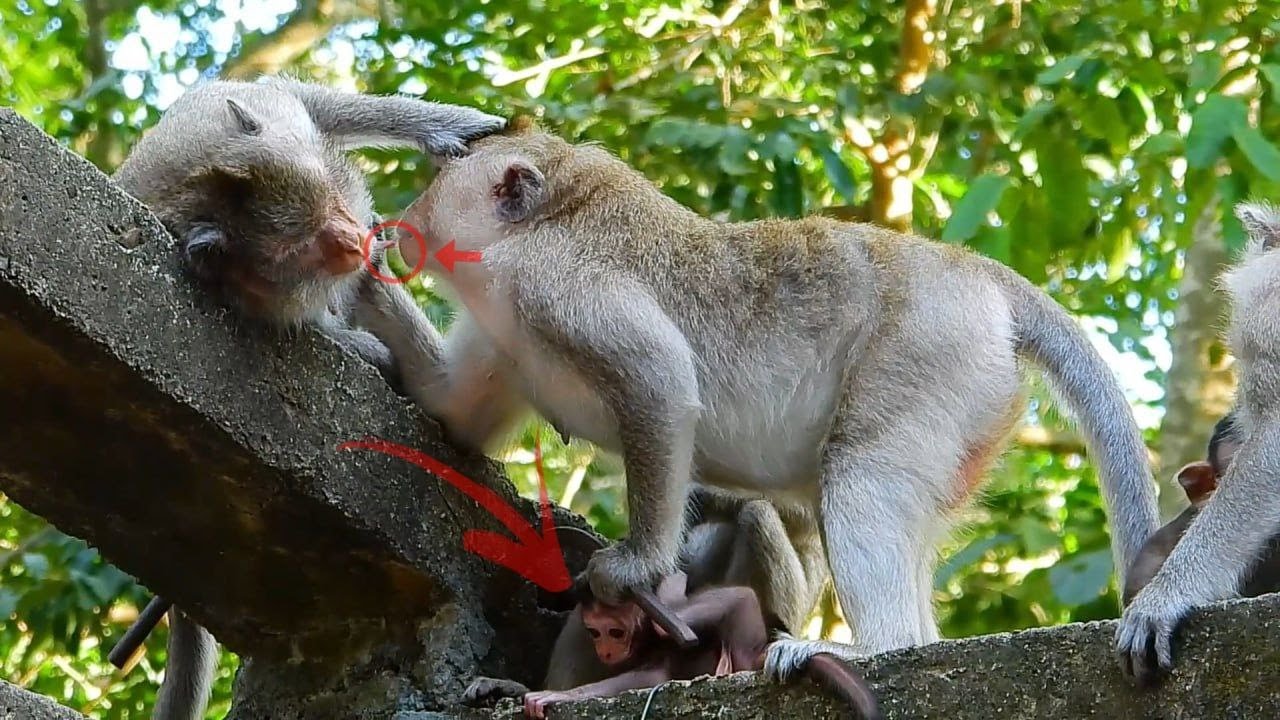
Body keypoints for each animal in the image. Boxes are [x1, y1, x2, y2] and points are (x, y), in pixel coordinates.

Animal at [112, 76, 505, 720]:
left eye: (319, 203)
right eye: (301, 245)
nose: (349, 240)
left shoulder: (269, 114)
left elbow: (312, 104)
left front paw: (446, 127)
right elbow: (309, 322)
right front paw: (365, 348)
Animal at [353, 117, 1159, 680]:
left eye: (444, 176)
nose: (406, 214)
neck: (547, 224)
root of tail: (979, 277)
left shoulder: (555, 284)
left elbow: (660, 383)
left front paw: (634, 568)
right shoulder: (505, 337)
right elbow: (452, 409)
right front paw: (359, 279)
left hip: (933, 356)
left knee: (862, 477)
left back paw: (878, 651)